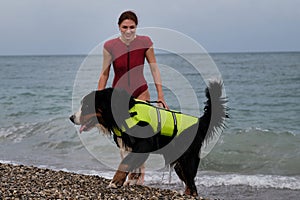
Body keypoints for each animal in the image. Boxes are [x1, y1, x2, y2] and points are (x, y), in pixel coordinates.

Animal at [70, 80, 227, 196]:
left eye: (86, 106)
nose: (71, 118)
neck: (122, 113)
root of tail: (199, 122)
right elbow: (133, 164)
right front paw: (130, 181)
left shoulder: (144, 143)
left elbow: (126, 162)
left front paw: (116, 181)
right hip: (180, 164)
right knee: (190, 184)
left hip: (187, 159)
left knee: (192, 185)